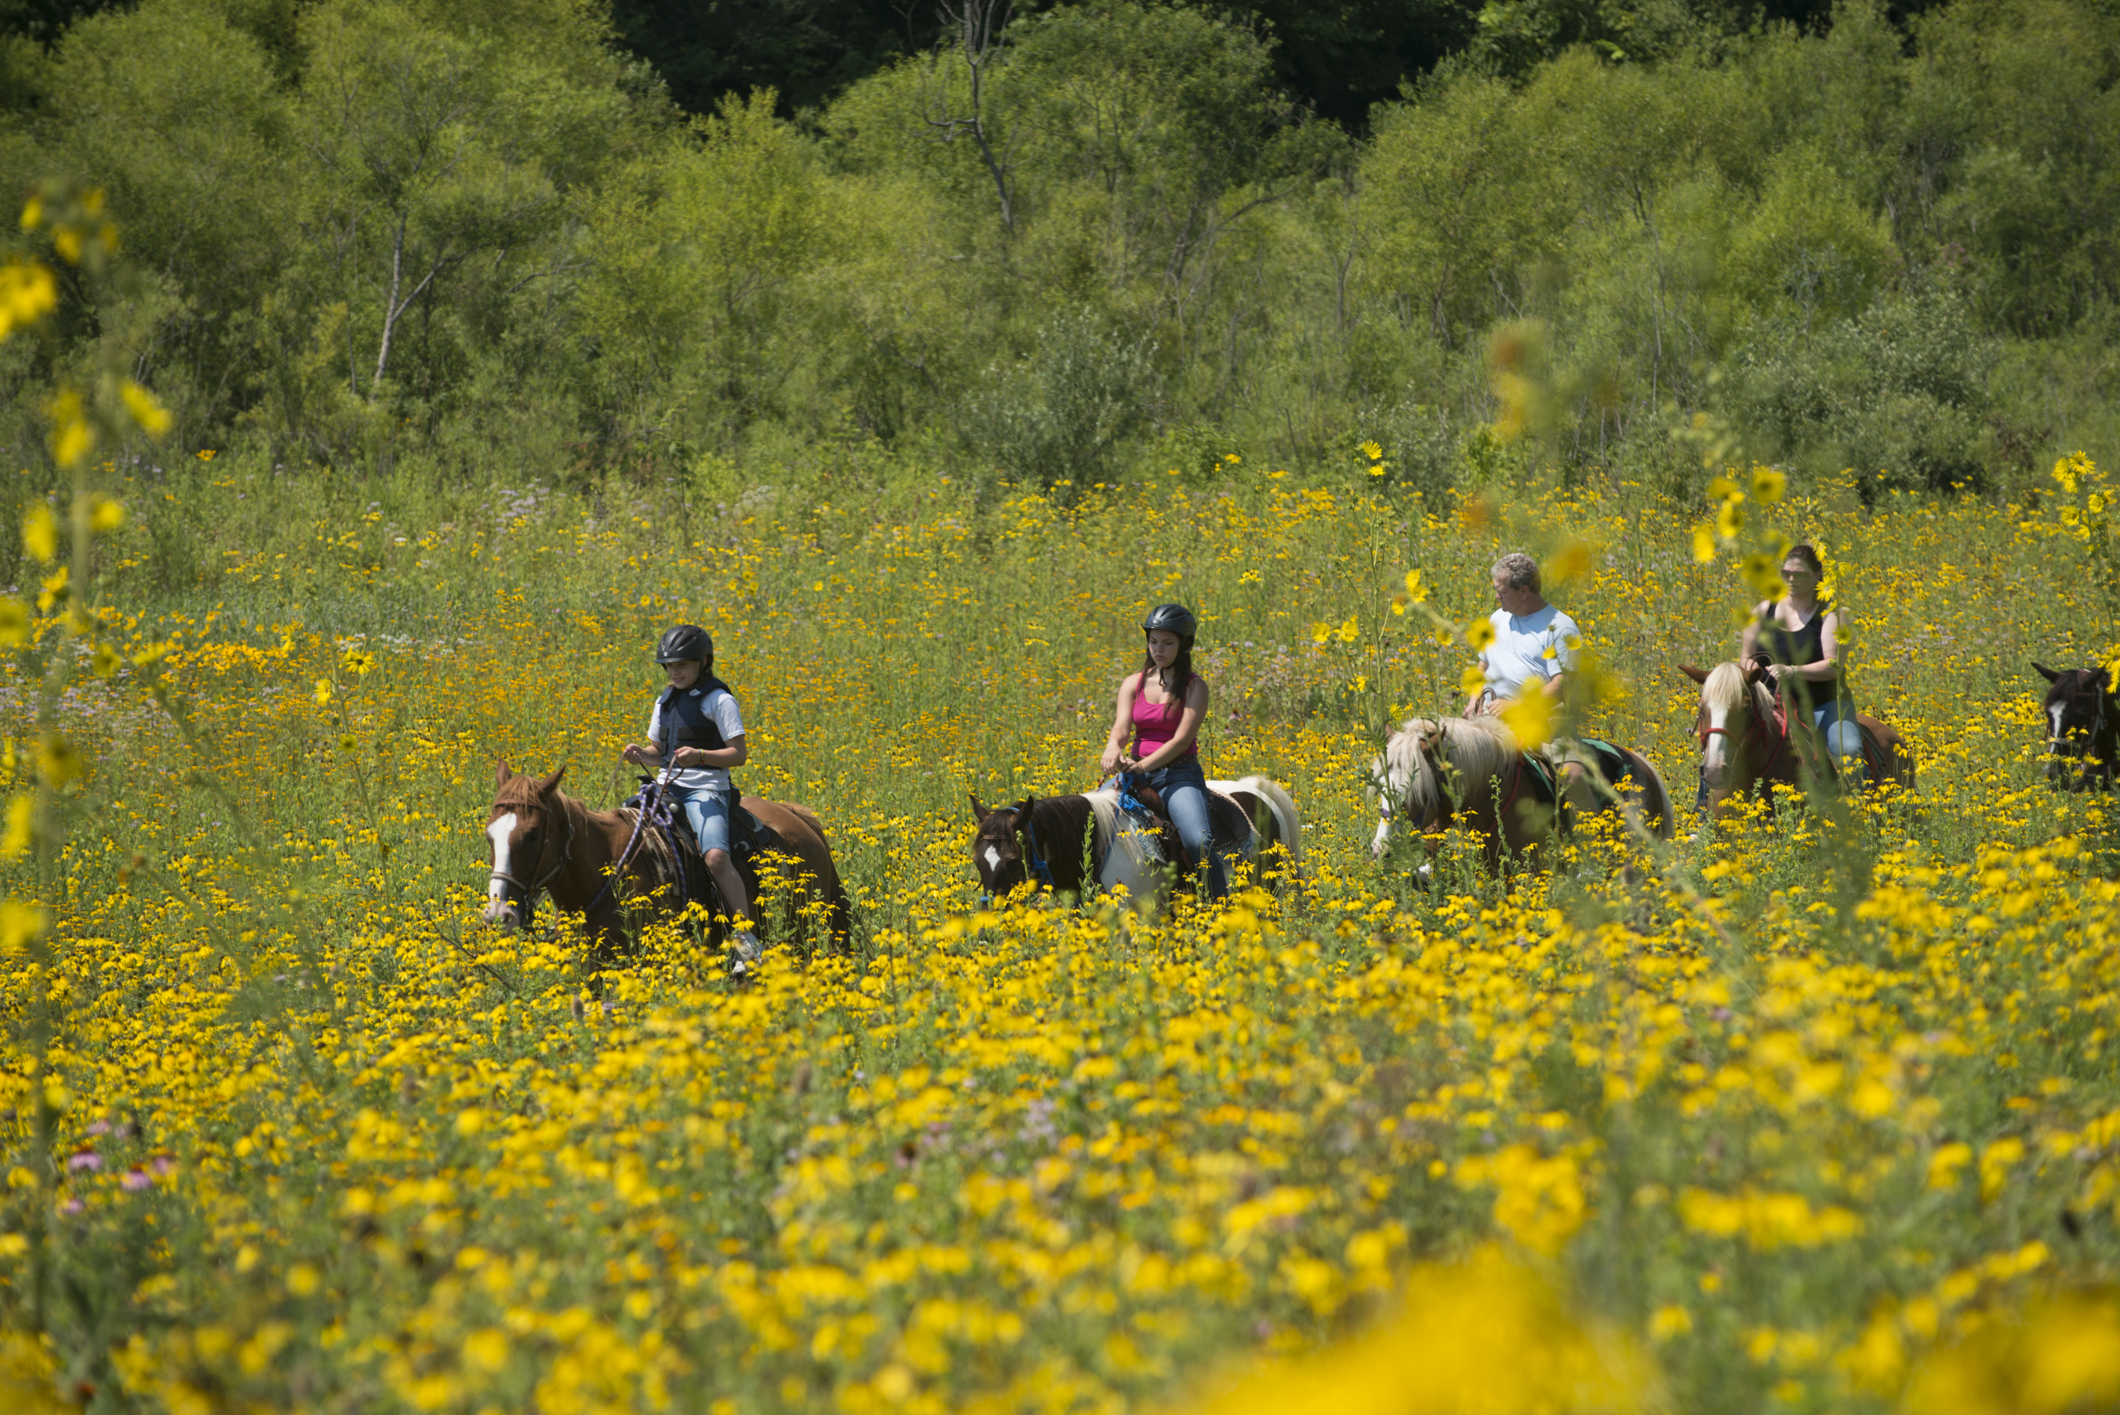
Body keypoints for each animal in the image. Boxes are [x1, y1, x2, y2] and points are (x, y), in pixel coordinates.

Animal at [476, 763, 847, 963]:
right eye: (489, 834)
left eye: (532, 835)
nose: (498, 915)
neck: (602, 876)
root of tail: (798, 818)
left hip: (801, 933)